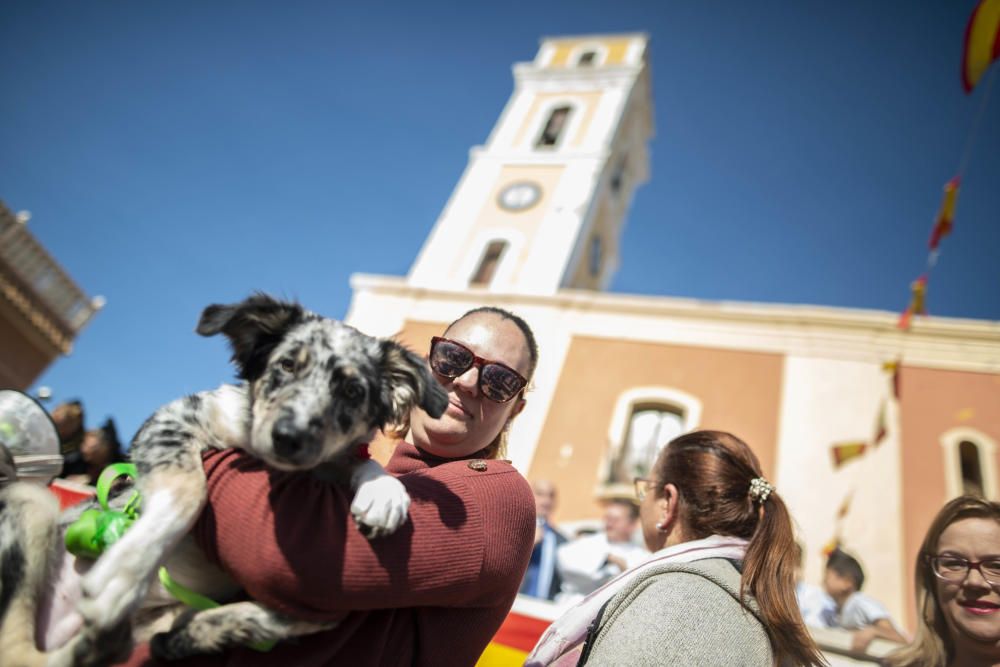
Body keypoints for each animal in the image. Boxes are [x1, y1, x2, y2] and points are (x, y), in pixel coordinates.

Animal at [0, 294, 448, 664]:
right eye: (287, 365)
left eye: (353, 391)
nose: (288, 437)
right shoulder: (177, 417)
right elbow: (189, 491)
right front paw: (125, 573)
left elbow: (360, 462)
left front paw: (384, 492)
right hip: (30, 501)